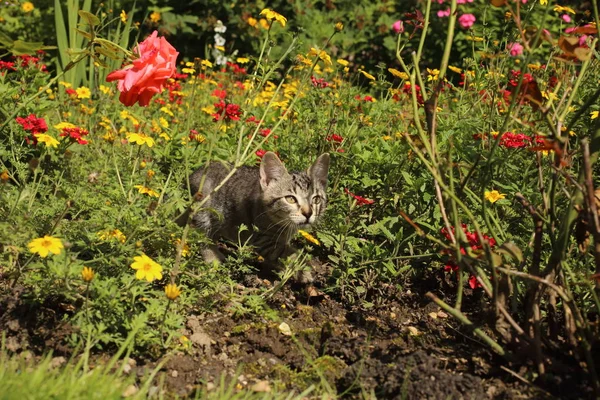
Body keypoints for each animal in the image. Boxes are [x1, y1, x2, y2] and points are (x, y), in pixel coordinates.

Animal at [184, 150, 330, 276]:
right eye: (290, 199)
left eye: (316, 199)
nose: (308, 213)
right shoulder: (263, 239)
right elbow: (286, 253)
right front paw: (303, 270)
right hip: (203, 211)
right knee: (201, 236)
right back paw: (212, 257)